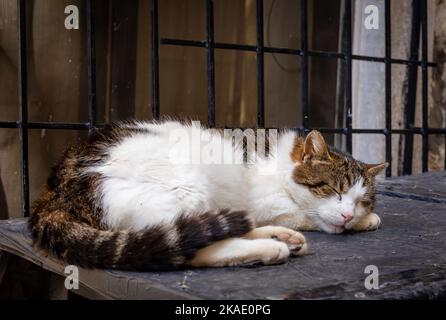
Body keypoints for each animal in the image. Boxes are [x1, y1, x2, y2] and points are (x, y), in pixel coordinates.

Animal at [30, 120, 386, 270]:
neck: (282, 163)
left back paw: (278, 237)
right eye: (332, 189)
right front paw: (360, 222)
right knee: (184, 248)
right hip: (186, 186)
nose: (350, 213)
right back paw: (270, 247)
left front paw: (363, 218)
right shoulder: (265, 200)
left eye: (360, 200)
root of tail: (54, 193)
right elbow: (304, 213)